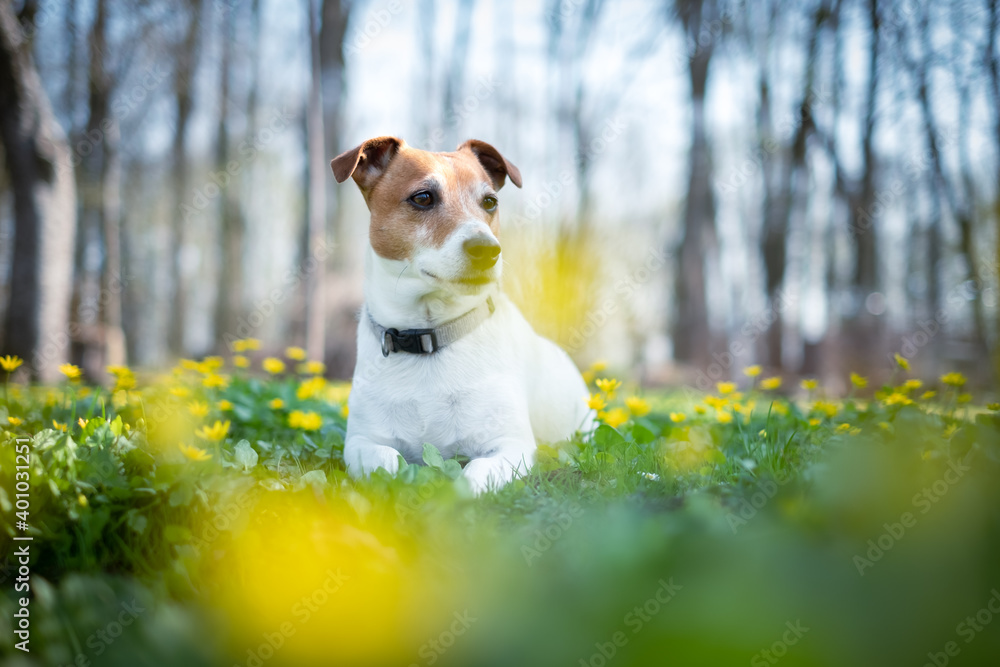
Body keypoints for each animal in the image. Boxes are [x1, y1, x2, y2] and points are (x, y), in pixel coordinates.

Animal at [332, 138, 588, 494]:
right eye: (423, 197)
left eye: (490, 202)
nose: (487, 250)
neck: (429, 336)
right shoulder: (361, 441)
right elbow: (387, 460)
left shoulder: (512, 445)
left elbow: (474, 474)